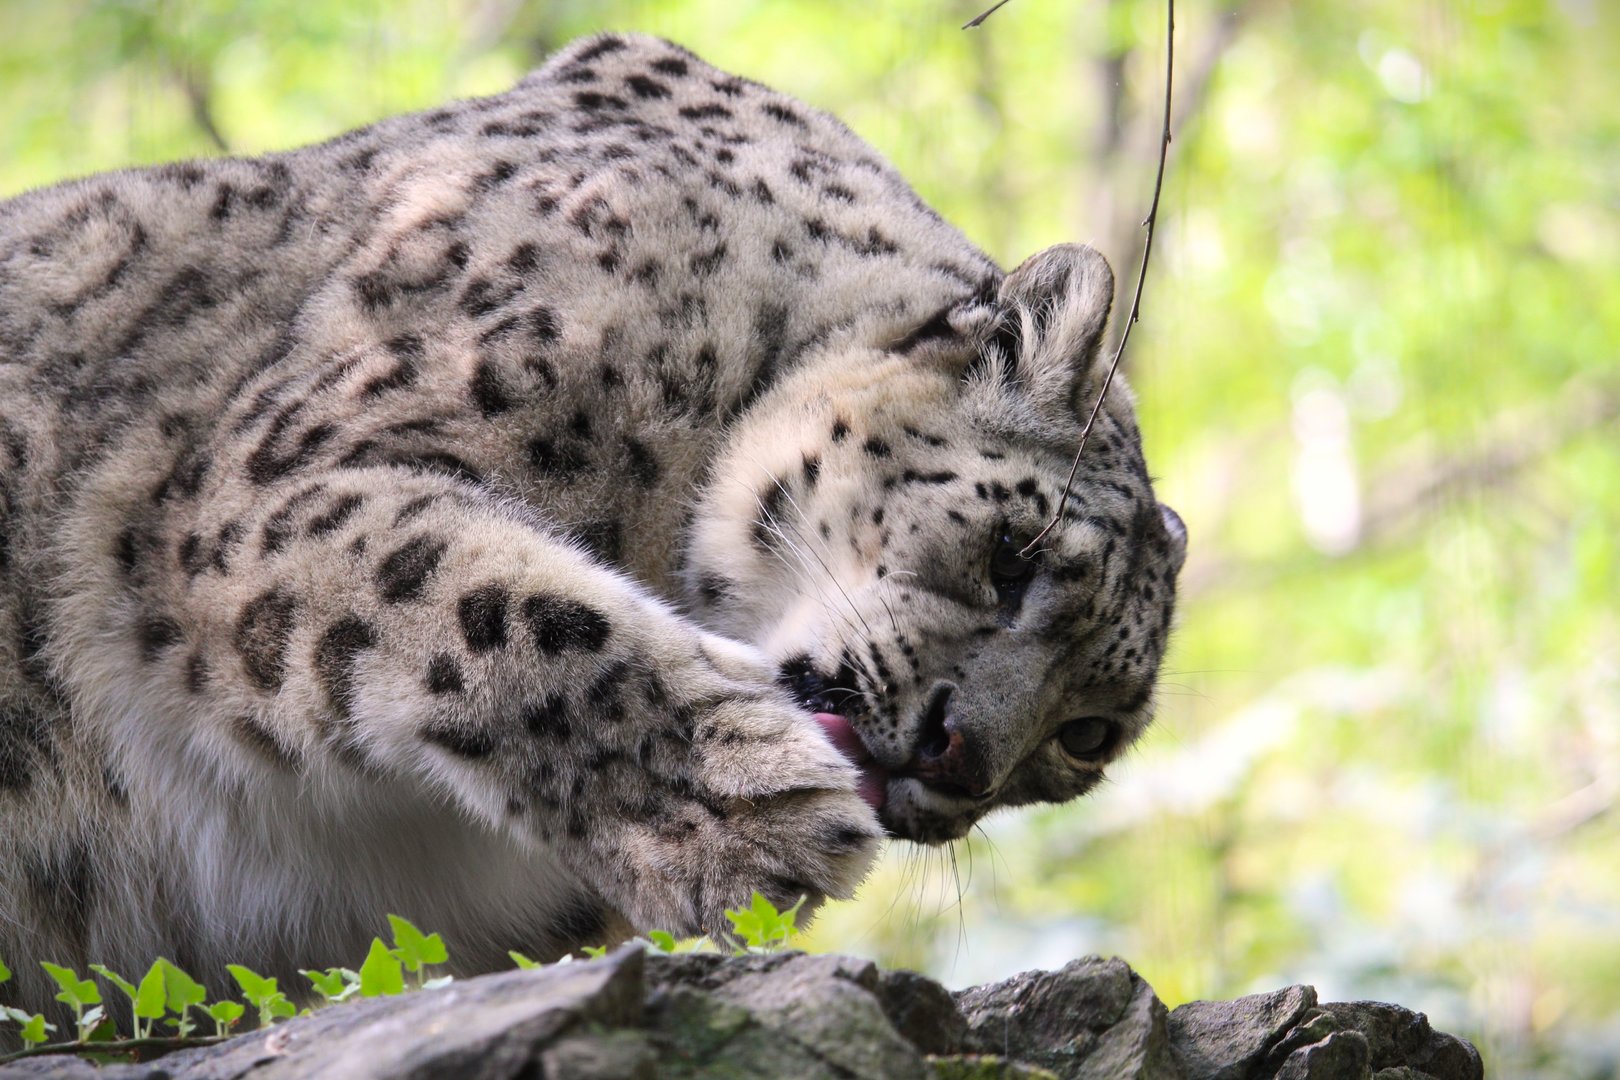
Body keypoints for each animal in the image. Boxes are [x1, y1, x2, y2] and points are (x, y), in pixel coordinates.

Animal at [0, 32, 1186, 1024]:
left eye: (1087, 738)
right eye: (1012, 556)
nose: (959, 760)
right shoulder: (276, 482)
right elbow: (497, 608)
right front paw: (752, 815)